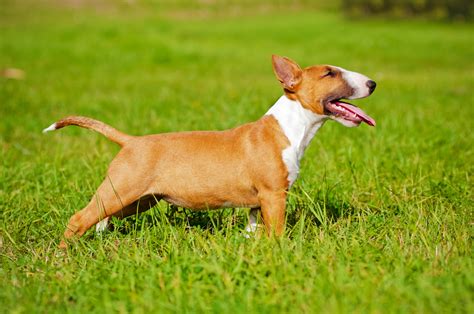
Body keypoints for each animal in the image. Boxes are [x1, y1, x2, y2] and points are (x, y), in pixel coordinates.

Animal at [45, 55, 378, 248]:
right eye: (329, 74)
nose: (373, 83)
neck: (289, 126)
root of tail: (131, 141)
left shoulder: (258, 201)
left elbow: (253, 228)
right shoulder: (274, 194)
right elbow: (277, 231)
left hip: (138, 199)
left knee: (102, 217)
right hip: (122, 190)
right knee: (79, 218)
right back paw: (64, 255)